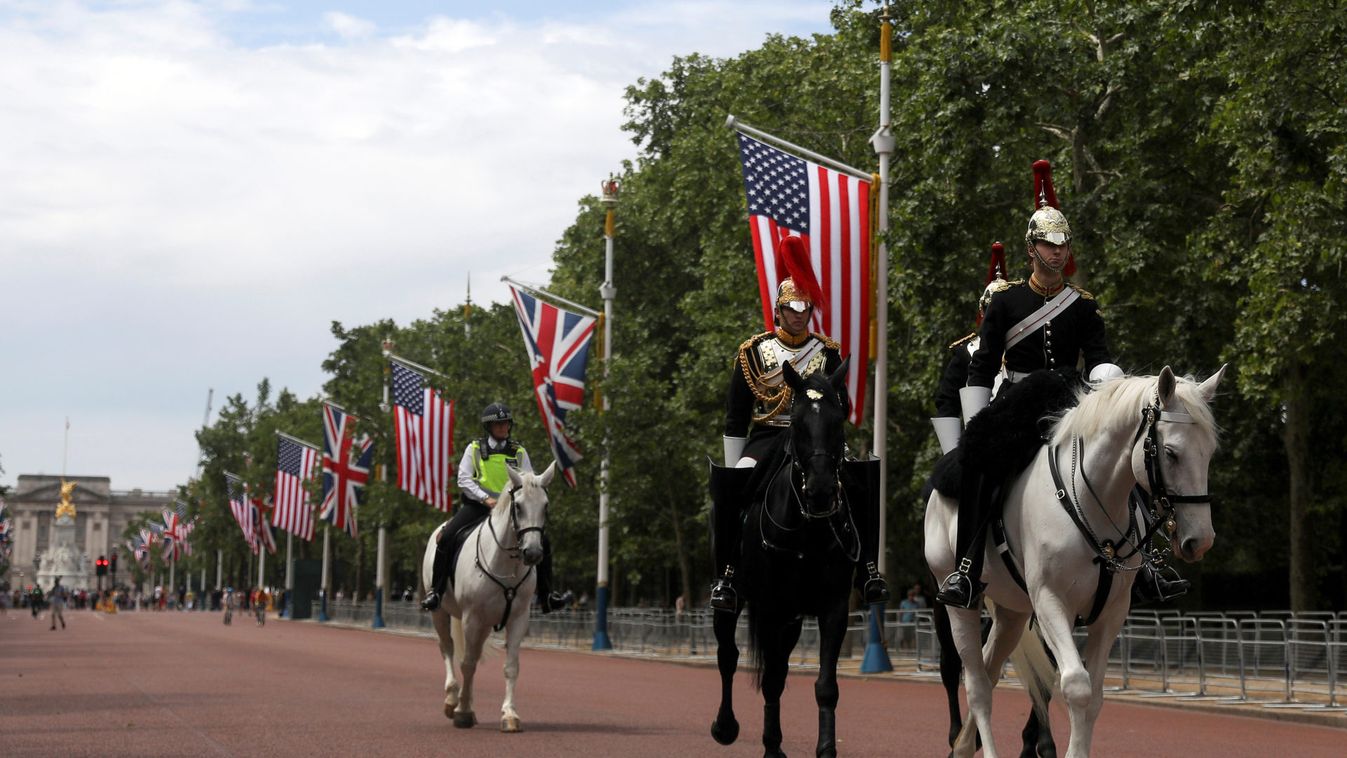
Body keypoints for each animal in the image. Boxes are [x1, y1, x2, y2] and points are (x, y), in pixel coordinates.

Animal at [414, 463, 552, 737]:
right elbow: (467, 663)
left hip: (486, 623)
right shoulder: (472, 617)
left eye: (545, 506)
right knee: (447, 648)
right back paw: (452, 700)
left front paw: (509, 715)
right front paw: (463, 713)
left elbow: (511, 666)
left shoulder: (518, 619)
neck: (506, 562)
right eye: (518, 506)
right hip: (441, 613)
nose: (532, 553)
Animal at [711, 360, 856, 758]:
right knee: (728, 655)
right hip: (735, 600)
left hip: (791, 618)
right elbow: (771, 679)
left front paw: (826, 749)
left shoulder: (833, 607)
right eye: (798, 424)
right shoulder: (771, 606)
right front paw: (772, 747)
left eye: (838, 421)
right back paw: (725, 727)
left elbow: (826, 685)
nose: (821, 491)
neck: (808, 530)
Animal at [926, 363, 1223, 753]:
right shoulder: (1051, 603)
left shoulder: (1111, 613)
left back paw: (962, 746)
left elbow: (1093, 697)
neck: (1086, 498)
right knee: (976, 685)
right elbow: (1077, 686)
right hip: (959, 604)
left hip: (1012, 611)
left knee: (989, 670)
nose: (1199, 540)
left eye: (1209, 453)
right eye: (1171, 452)